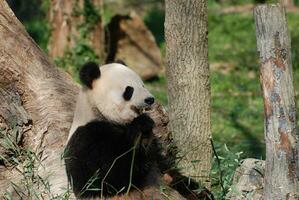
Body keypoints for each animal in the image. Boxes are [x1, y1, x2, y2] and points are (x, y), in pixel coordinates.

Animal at [65, 61, 206, 199]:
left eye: (143, 85)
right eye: (129, 90)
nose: (150, 99)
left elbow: (163, 166)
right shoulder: (88, 138)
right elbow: (106, 178)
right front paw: (141, 130)